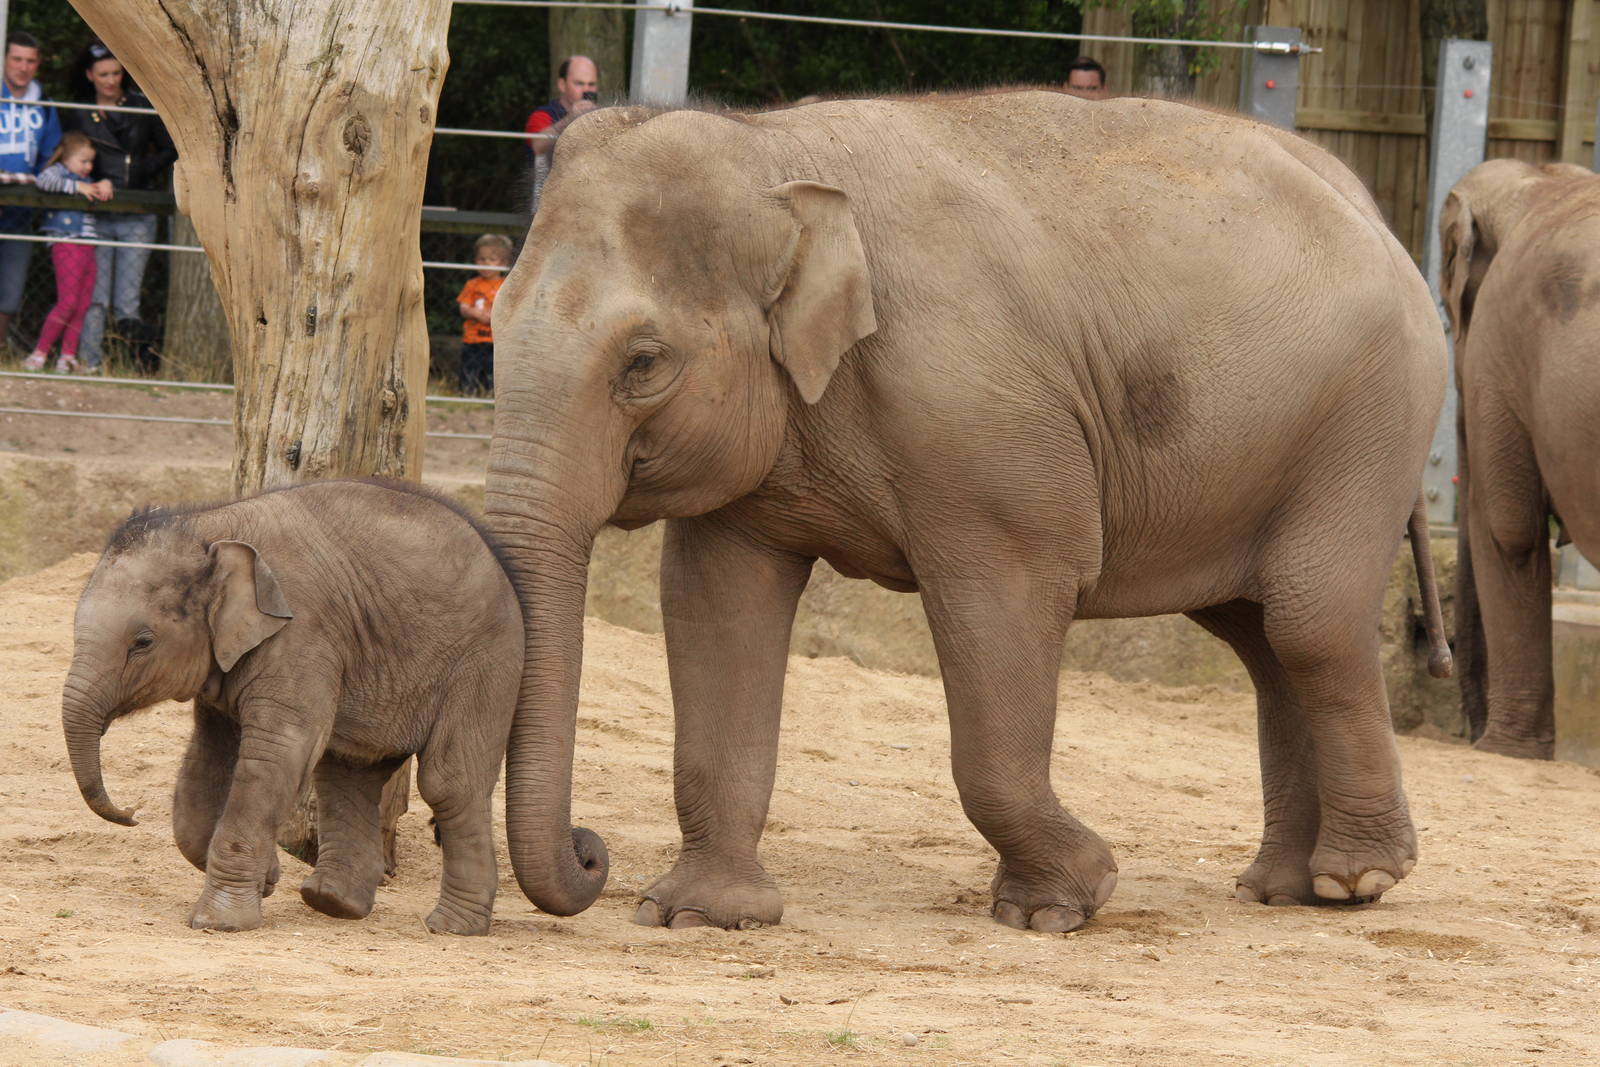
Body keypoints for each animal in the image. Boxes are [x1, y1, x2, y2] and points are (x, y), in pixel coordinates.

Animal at [62, 479, 531, 934]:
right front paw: (267, 878)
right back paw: (334, 903)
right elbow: (208, 758)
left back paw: (451, 927)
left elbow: (279, 752)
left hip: (485, 661)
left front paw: (219, 923)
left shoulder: (302, 632)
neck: (210, 525)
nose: (132, 813)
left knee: (448, 782)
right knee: (348, 769)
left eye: (143, 642)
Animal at [484, 90, 1450, 933]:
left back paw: (1358, 879)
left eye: (643, 362)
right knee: (1257, 635)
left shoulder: (983, 425)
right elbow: (716, 603)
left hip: (1367, 420)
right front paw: (698, 915)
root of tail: (1368, 202)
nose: (590, 852)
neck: (772, 149)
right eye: (490, 321)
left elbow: (1009, 602)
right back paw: (1282, 886)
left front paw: (1062, 904)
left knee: (1308, 621)